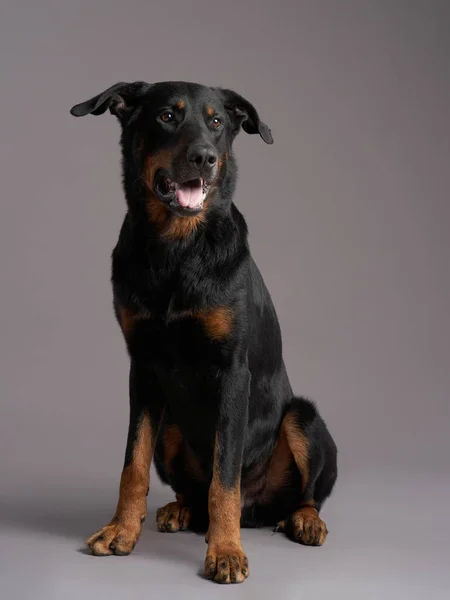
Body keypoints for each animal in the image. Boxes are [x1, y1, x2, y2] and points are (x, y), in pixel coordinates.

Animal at [70, 82, 338, 584]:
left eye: (217, 121)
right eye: (167, 116)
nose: (205, 158)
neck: (177, 248)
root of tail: (258, 512)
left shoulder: (232, 372)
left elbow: (224, 478)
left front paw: (226, 551)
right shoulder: (143, 368)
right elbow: (132, 464)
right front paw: (121, 530)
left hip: (304, 419)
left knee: (305, 492)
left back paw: (304, 521)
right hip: (170, 425)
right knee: (191, 490)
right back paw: (181, 510)